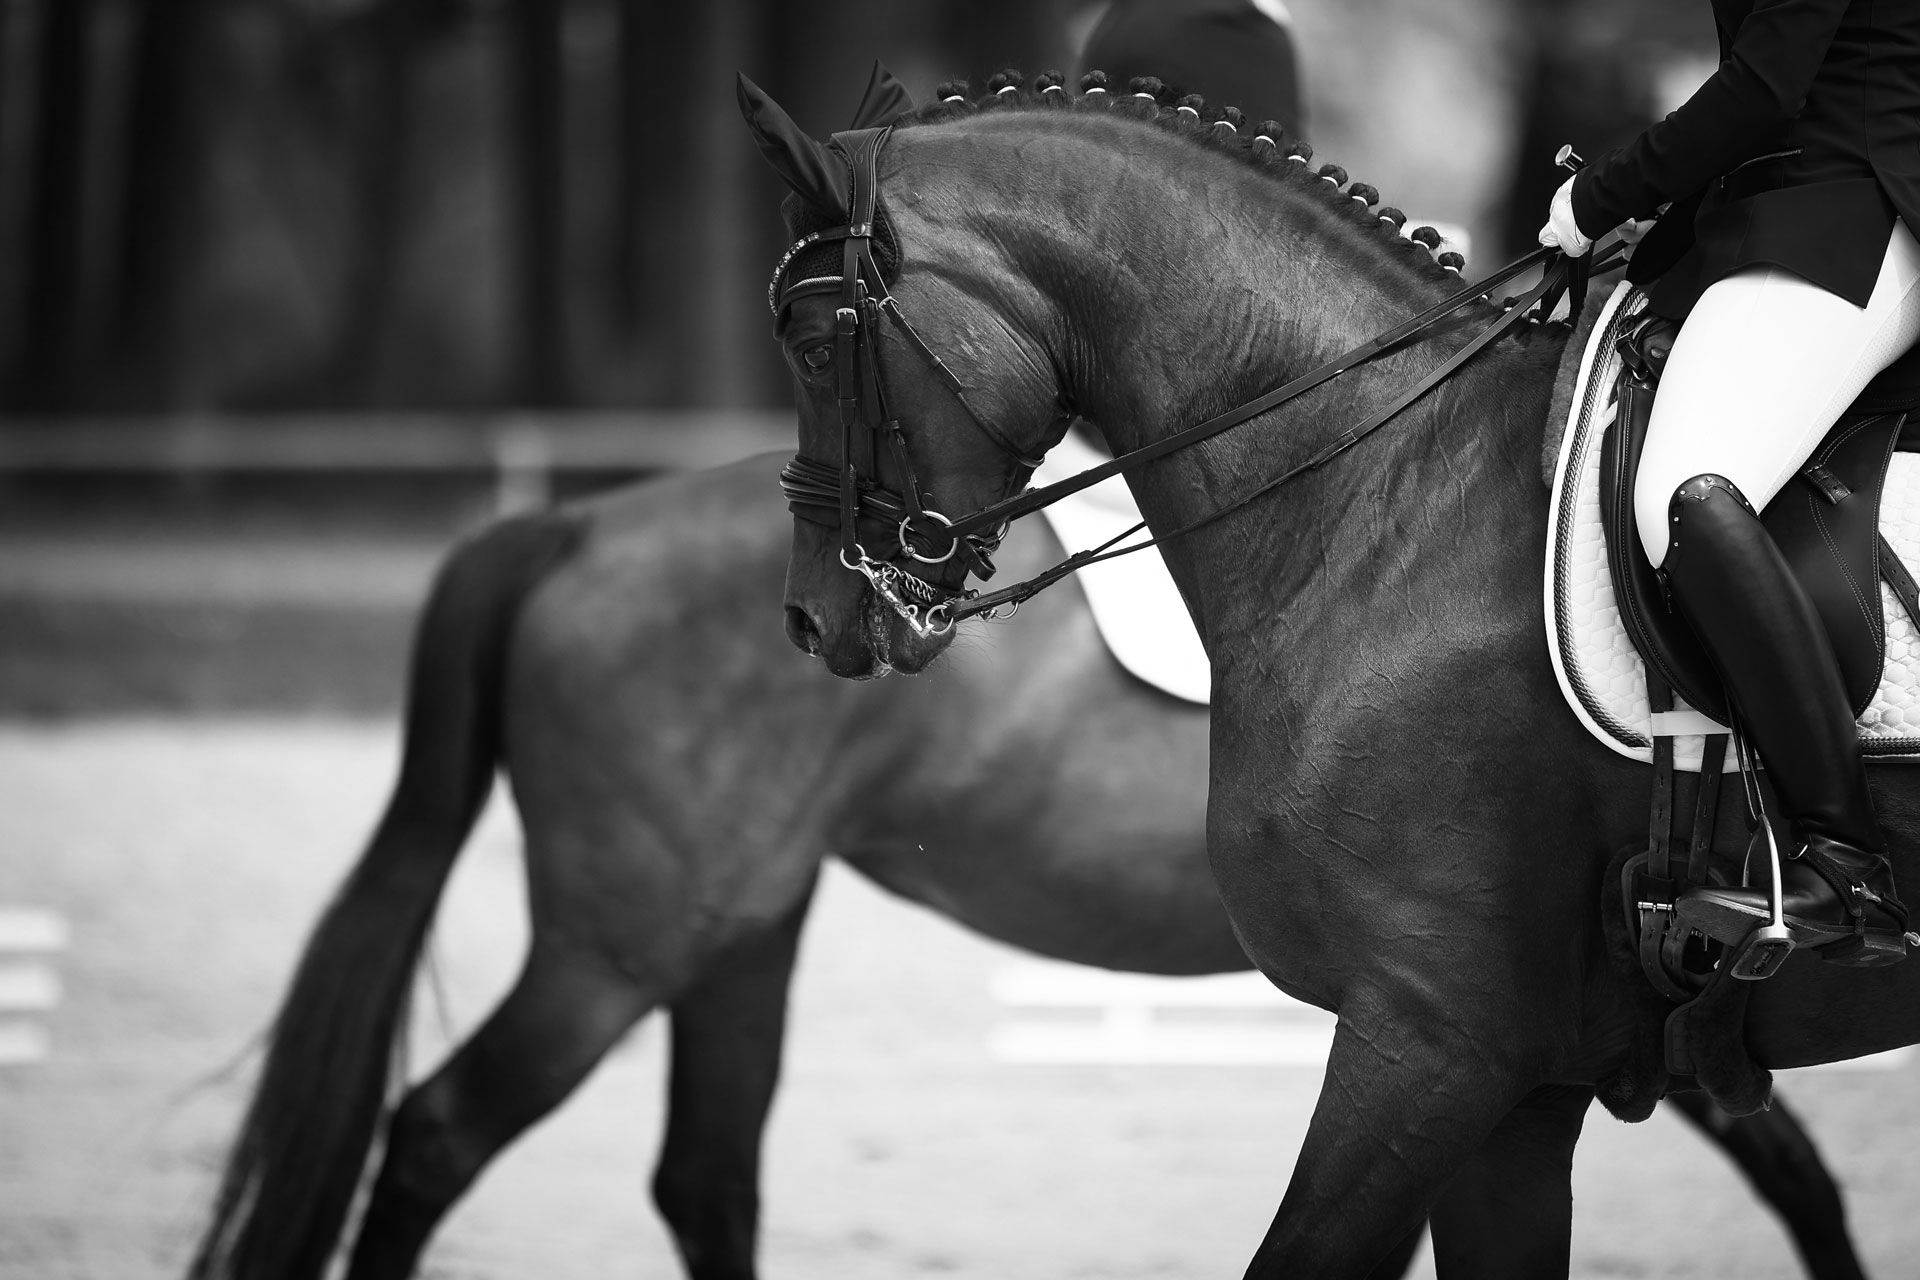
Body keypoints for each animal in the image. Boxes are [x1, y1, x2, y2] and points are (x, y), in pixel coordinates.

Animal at [181, 454, 1870, 1280]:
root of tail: (577, 529)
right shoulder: (1506, 1011)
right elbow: (1792, 1172)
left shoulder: (1519, 1020)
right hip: (619, 948)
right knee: (440, 1134)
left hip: (741, 930)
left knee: (703, 1179)